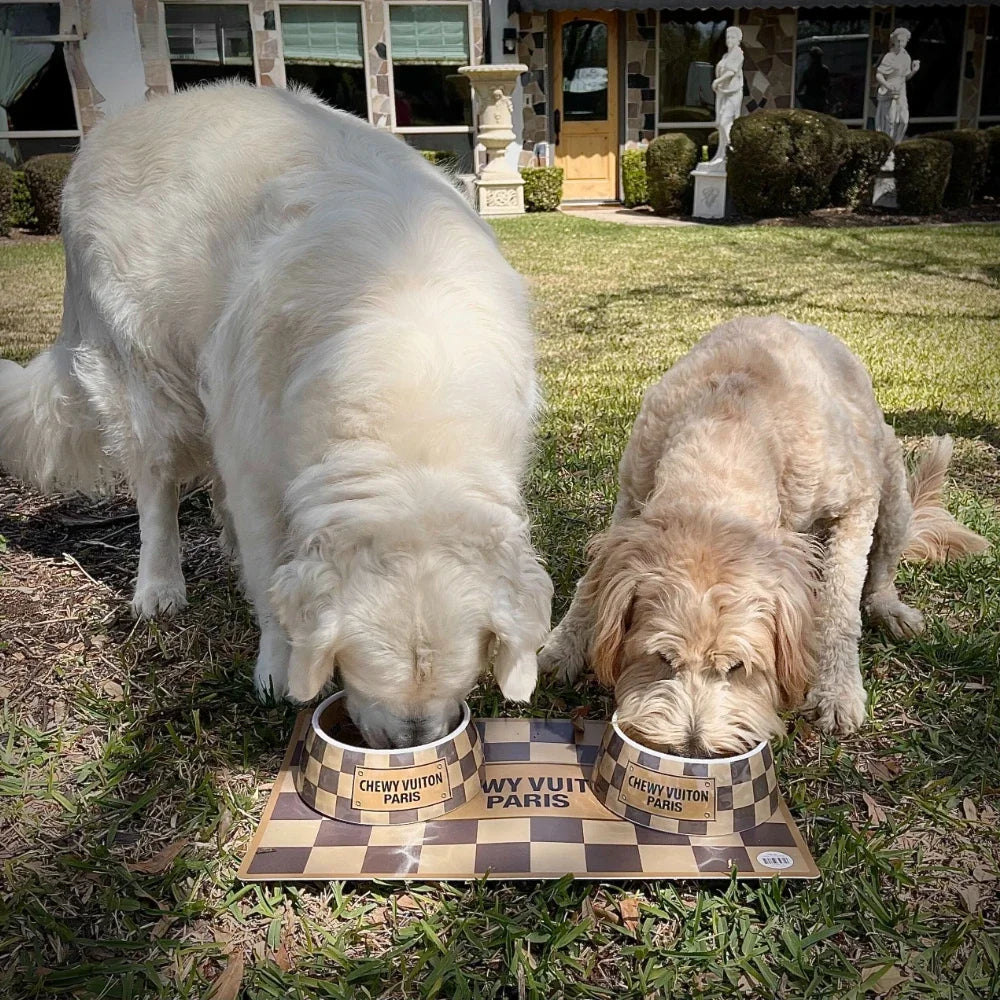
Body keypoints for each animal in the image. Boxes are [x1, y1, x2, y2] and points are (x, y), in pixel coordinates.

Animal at [0, 84, 552, 744]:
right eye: (360, 669)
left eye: (461, 677)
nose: (412, 744)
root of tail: (115, 126)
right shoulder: (259, 461)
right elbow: (268, 575)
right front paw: (278, 668)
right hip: (144, 378)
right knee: (157, 491)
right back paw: (158, 585)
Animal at [540, 316, 984, 752]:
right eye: (663, 659)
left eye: (738, 667)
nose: (692, 748)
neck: (730, 423)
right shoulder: (632, 499)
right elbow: (591, 582)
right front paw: (562, 646)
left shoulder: (854, 506)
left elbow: (838, 604)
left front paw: (837, 689)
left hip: (892, 500)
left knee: (879, 575)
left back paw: (889, 608)